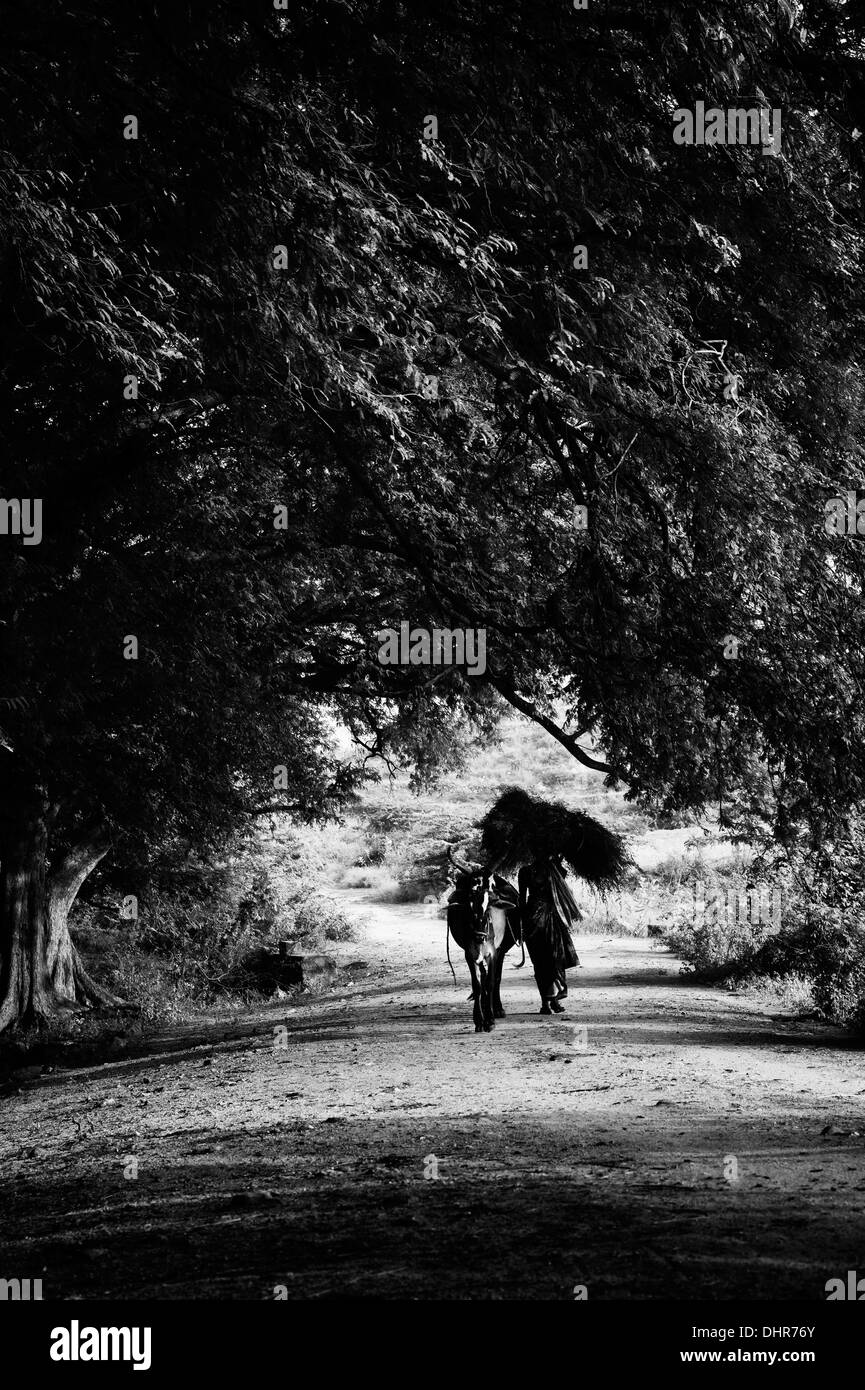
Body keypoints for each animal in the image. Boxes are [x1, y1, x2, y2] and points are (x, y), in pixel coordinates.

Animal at [447, 845, 522, 1034]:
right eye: (468, 904)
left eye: (489, 905)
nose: (479, 936)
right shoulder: (470, 954)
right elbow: (478, 984)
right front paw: (479, 1020)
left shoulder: (493, 953)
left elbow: (490, 982)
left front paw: (490, 1019)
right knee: (484, 977)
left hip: (500, 951)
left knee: (494, 978)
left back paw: (497, 1009)